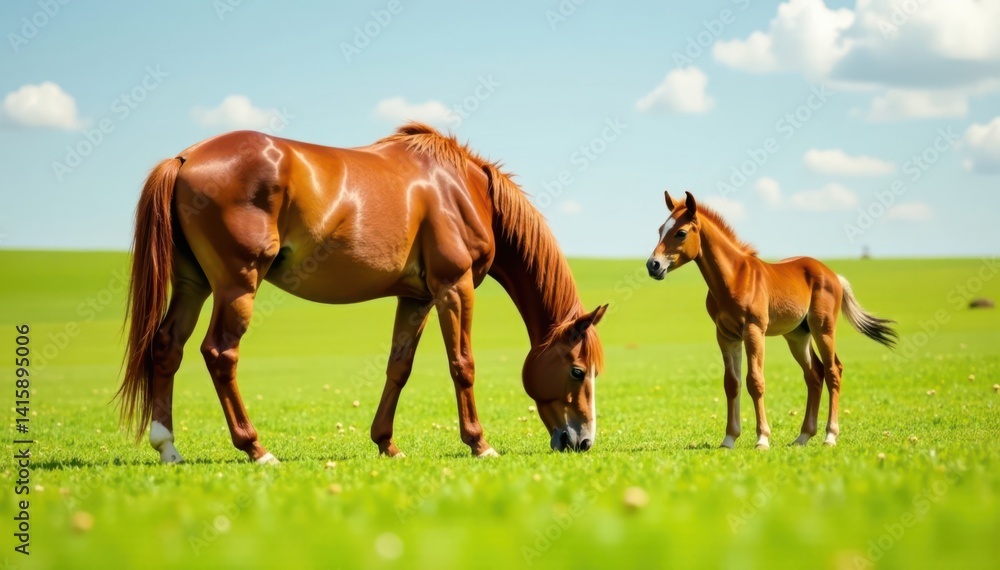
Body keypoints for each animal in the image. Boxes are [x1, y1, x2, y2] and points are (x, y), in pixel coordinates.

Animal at [115, 123, 608, 464]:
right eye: (578, 371)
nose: (584, 441)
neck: (464, 189)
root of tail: (185, 158)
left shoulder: (417, 297)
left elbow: (399, 367)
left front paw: (386, 444)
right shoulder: (454, 287)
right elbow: (462, 365)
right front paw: (479, 444)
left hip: (194, 284)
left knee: (167, 347)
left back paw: (168, 448)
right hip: (237, 285)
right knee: (220, 354)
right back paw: (256, 449)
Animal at [645, 191, 896, 449]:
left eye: (681, 233)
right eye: (660, 230)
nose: (653, 265)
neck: (735, 278)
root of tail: (832, 275)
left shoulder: (754, 331)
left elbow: (755, 381)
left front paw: (762, 439)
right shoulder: (725, 335)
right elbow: (731, 383)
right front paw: (729, 439)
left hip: (823, 329)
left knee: (833, 370)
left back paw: (830, 436)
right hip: (797, 336)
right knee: (814, 374)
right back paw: (803, 436)